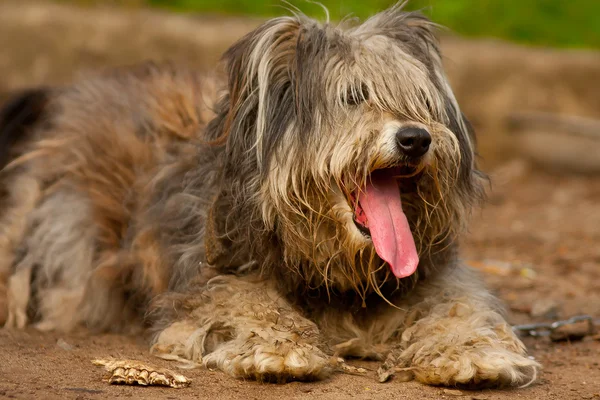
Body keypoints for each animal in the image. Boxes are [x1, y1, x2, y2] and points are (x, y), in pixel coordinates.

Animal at [0, 3, 540, 388]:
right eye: (352, 96)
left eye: (421, 102)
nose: (416, 139)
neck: (332, 266)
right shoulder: (208, 278)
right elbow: (242, 301)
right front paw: (279, 347)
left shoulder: (437, 278)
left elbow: (460, 308)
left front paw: (474, 354)